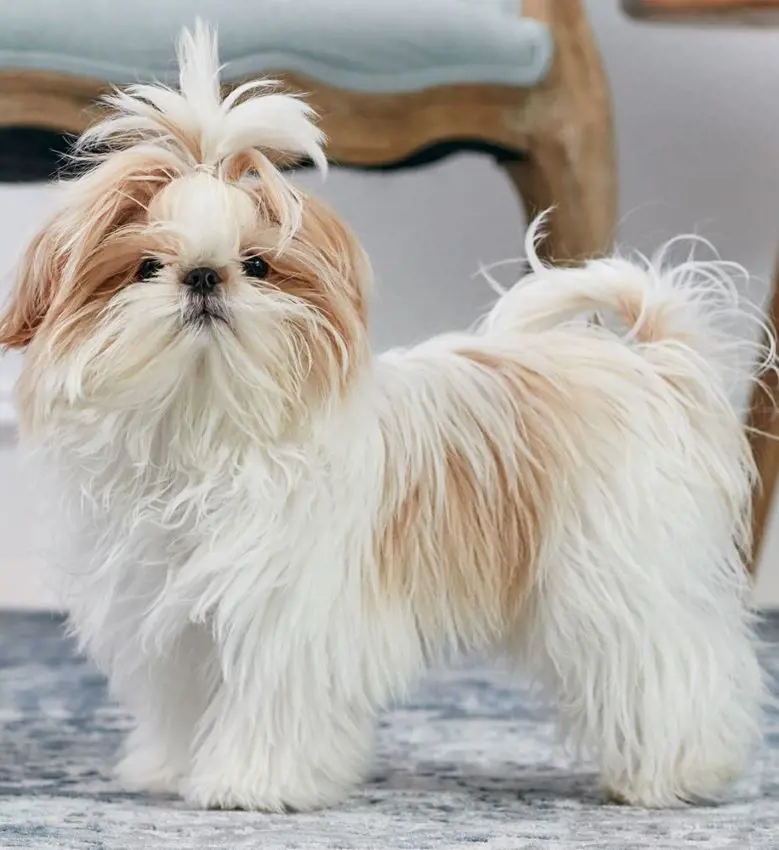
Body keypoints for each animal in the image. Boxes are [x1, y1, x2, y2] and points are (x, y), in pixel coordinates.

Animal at [0, 23, 768, 812]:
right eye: (147, 267)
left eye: (258, 265)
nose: (204, 276)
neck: (204, 422)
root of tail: (653, 368)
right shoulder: (176, 623)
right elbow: (186, 704)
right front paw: (173, 769)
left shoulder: (284, 617)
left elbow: (268, 704)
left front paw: (252, 783)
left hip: (621, 574)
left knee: (669, 663)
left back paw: (676, 772)